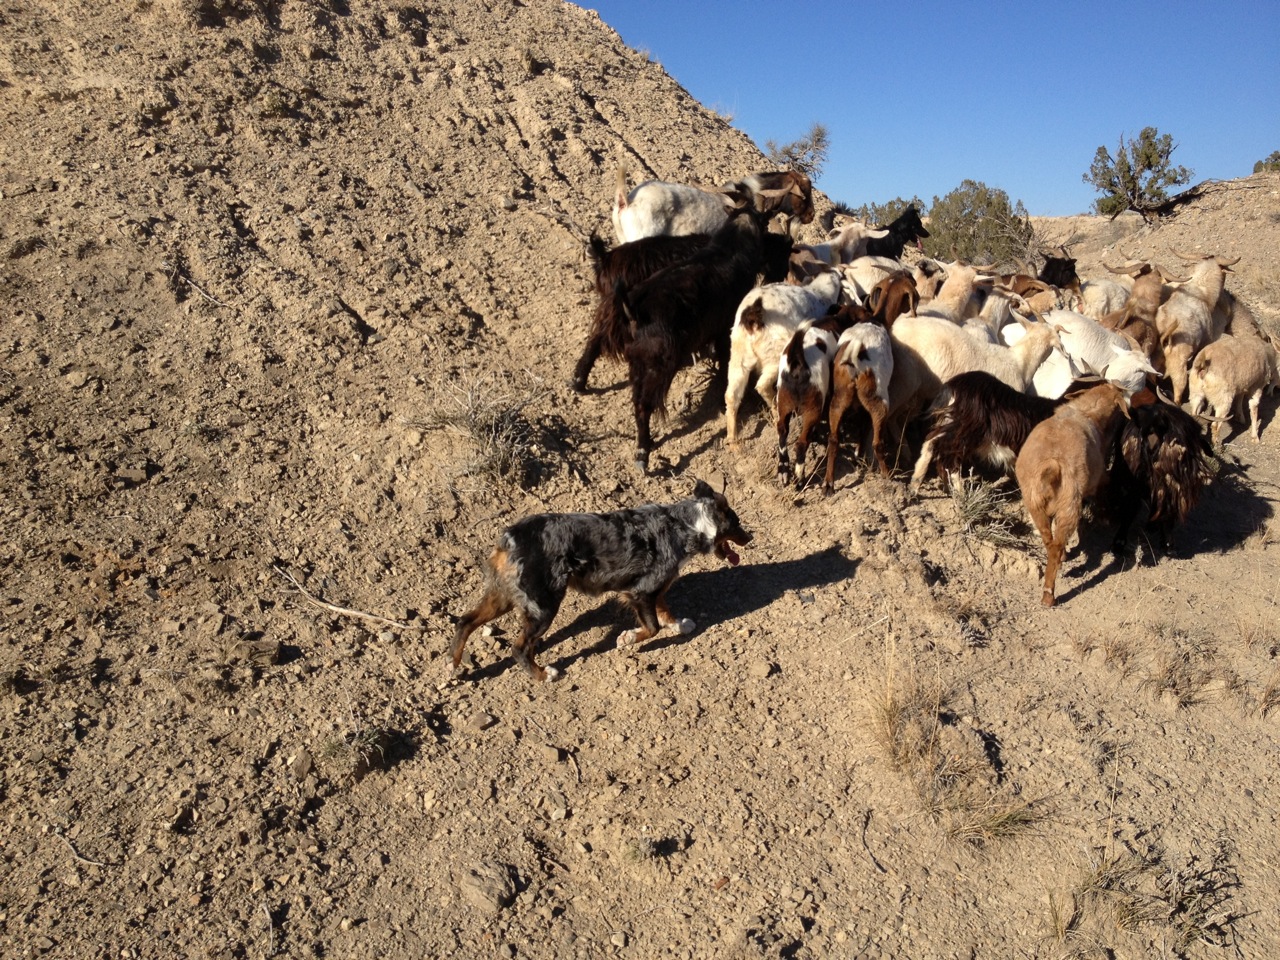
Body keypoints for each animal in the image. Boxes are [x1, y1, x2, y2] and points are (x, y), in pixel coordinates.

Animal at [619, 205, 788, 471]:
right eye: (764, 225)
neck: (729, 250)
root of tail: (634, 309)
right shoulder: (724, 331)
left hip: (637, 364)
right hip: (657, 366)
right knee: (643, 405)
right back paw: (642, 454)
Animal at [1015, 383, 1132, 606]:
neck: (1087, 410)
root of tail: (1052, 465)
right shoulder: (1100, 479)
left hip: (1036, 504)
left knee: (1049, 540)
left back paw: (1060, 560)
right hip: (1070, 505)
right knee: (1057, 545)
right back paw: (1049, 595)